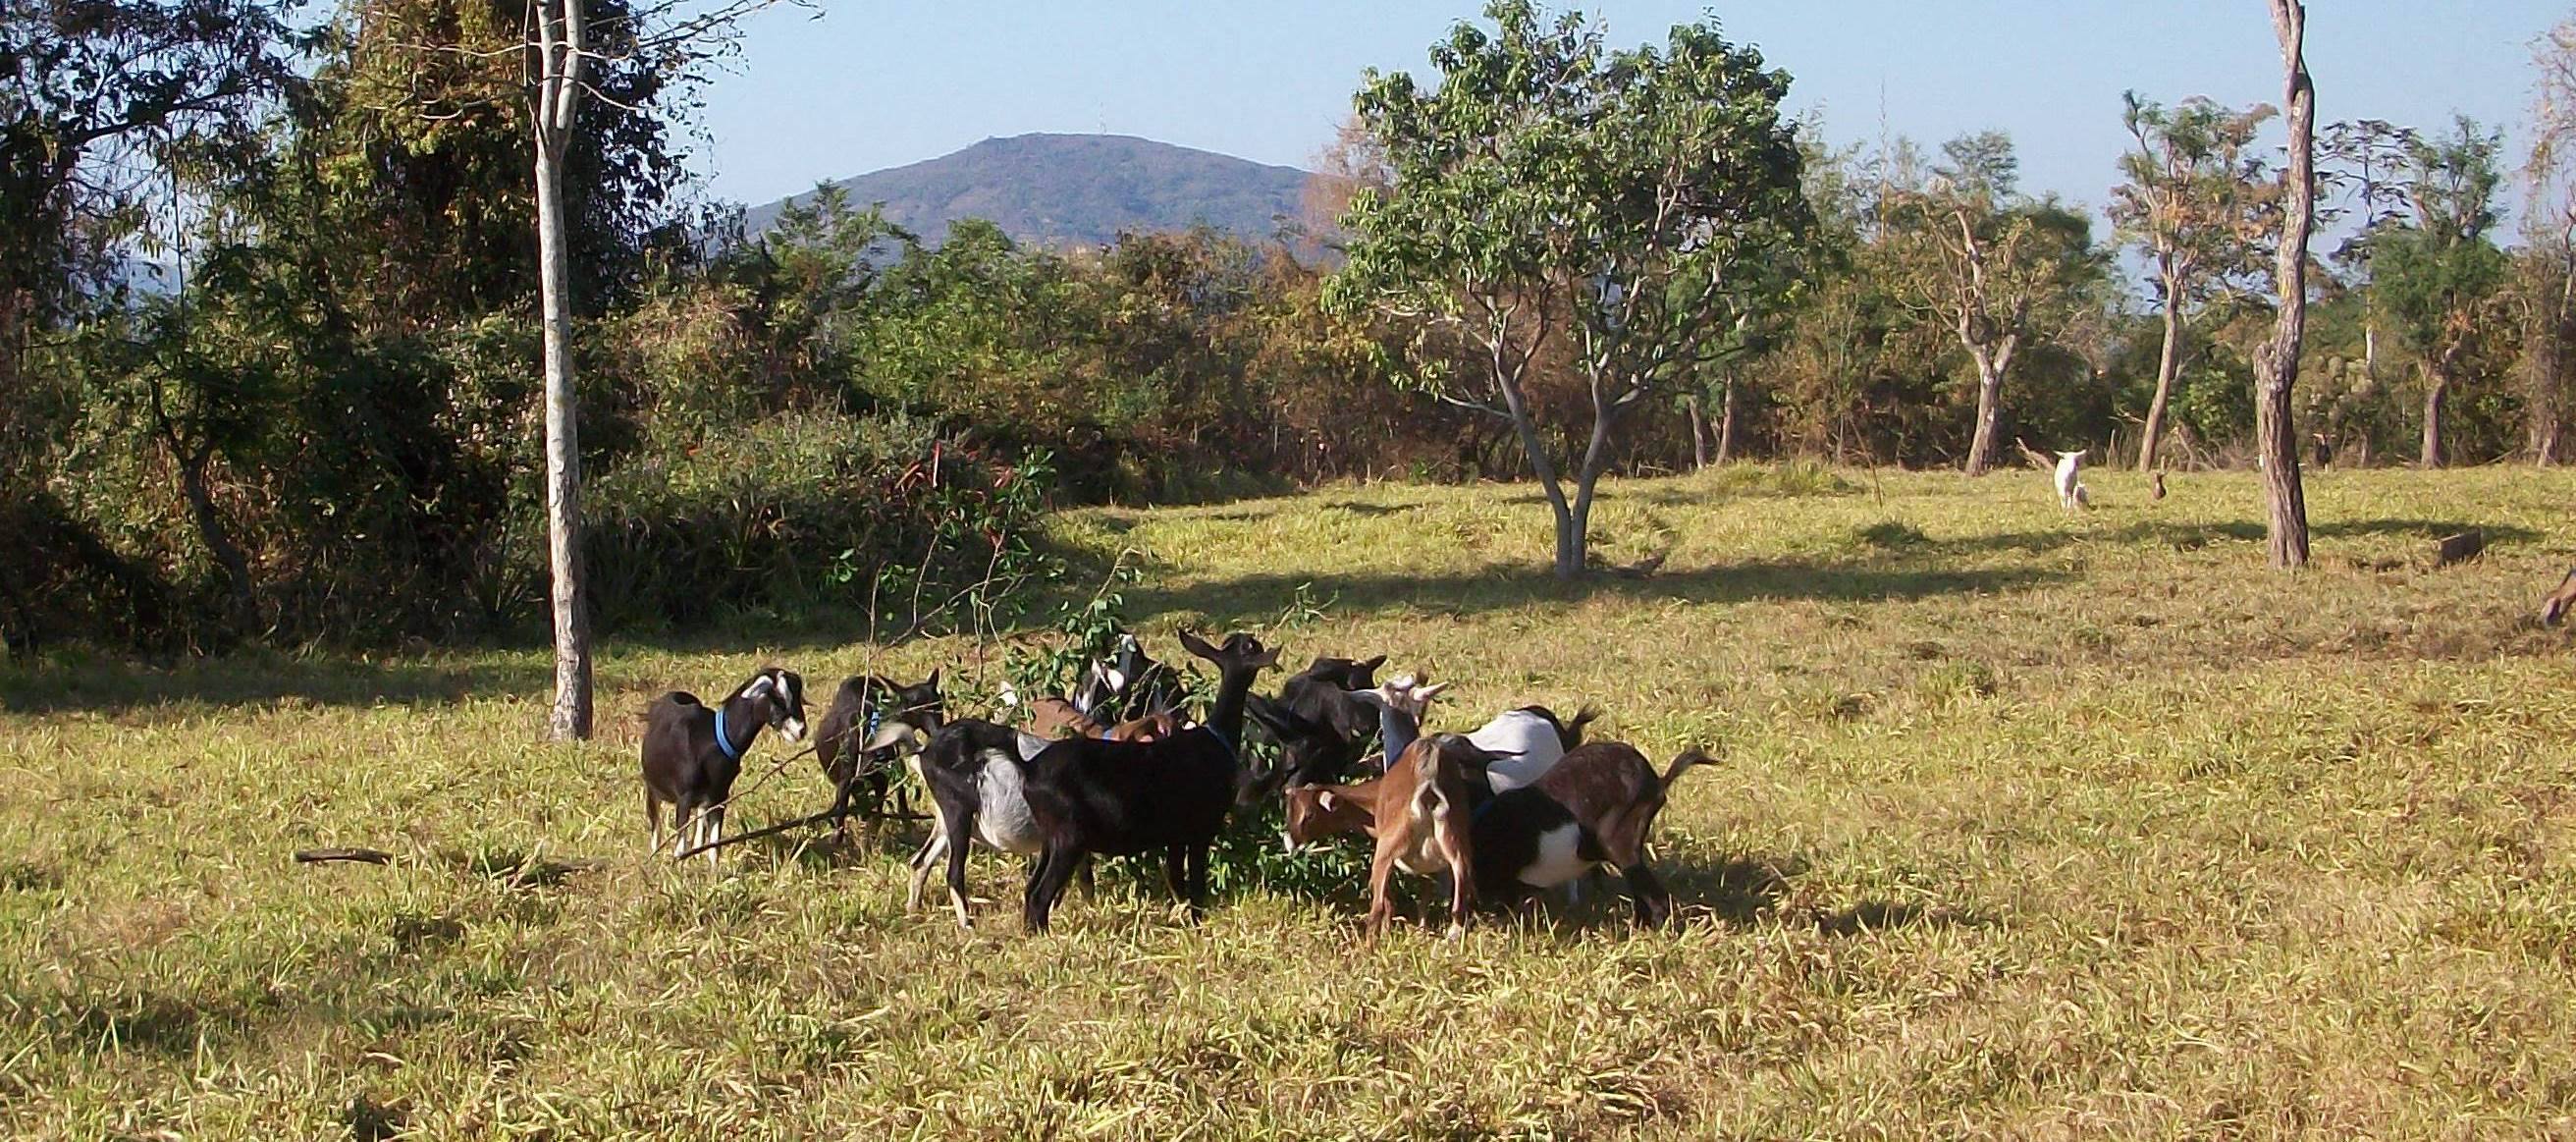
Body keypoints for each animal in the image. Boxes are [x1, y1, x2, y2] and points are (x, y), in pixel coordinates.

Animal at [641, 670, 803, 866]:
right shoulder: (684, 797)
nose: (801, 730)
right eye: (778, 698)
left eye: (797, 696)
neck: (711, 740)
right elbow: (680, 847)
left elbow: (715, 844)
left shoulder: (720, 796)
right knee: (656, 823)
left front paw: (714, 872)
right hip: (652, 787)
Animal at [1014, 631, 1277, 933]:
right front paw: (1198, 925)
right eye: (1250, 647)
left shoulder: (1177, 836)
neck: (1215, 737)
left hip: (1050, 838)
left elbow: (1176, 880)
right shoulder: (1201, 830)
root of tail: (1029, 769)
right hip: (1068, 839)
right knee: (1040, 895)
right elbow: (1196, 885)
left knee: (1030, 889)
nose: (1253, 638)